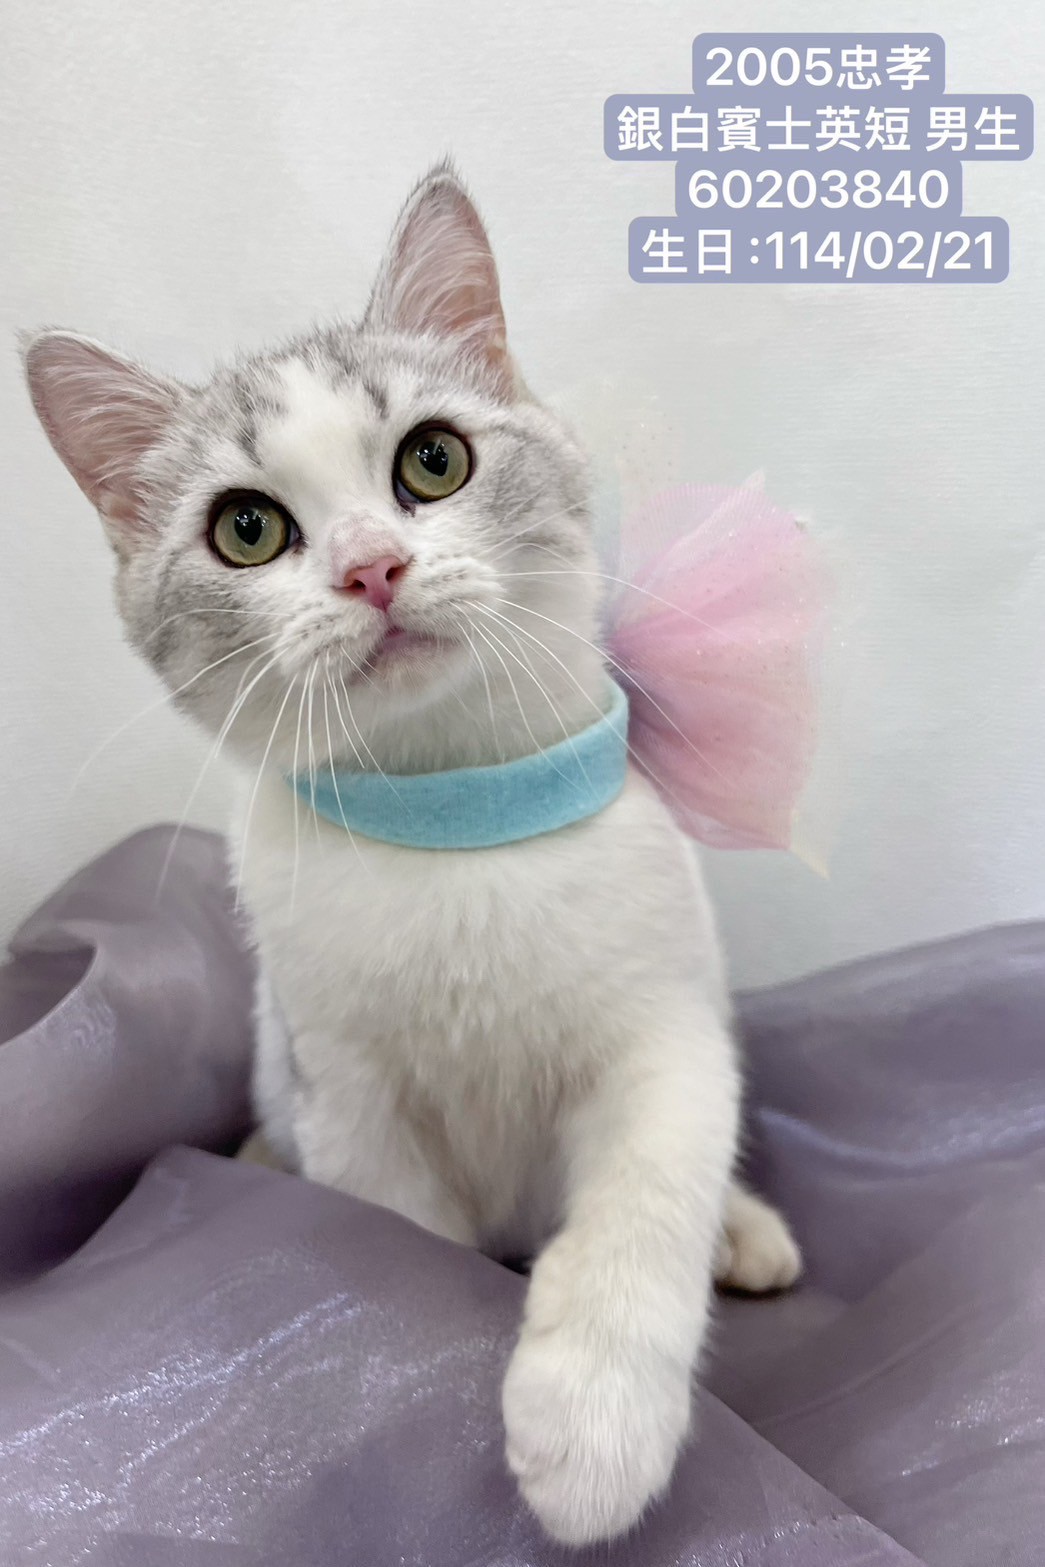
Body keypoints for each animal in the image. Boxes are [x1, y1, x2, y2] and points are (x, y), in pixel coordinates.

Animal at [23, 164, 801, 1547]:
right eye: (246, 528)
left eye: (433, 460)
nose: (371, 567)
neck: (458, 816)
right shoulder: (349, 1091)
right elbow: (405, 1249)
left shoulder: (665, 1033)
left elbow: (647, 1193)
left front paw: (594, 1428)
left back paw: (741, 1230)